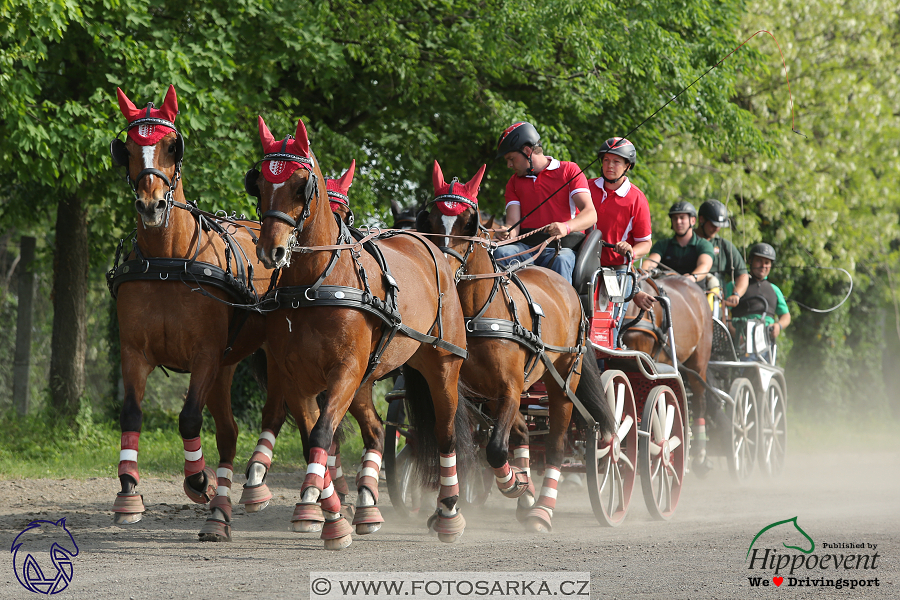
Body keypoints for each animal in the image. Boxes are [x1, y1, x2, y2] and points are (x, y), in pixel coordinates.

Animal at [107, 86, 272, 540]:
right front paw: (128, 491)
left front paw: (198, 480)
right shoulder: (134, 352)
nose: (151, 206)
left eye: (171, 145)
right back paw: (220, 515)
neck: (170, 259)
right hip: (228, 366)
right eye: (126, 149)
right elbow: (131, 413)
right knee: (230, 433)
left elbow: (188, 418)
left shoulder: (204, 355)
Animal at [246, 116, 472, 548]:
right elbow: (314, 439)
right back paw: (367, 506)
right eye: (260, 183)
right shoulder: (296, 376)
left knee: (445, 433)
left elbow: (321, 435)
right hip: (367, 378)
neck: (316, 284)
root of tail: (434, 252)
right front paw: (326, 511)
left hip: (441, 366)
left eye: (301, 185)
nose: (271, 251)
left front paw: (322, 508)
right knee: (376, 431)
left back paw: (450, 512)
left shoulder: (345, 371)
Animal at [416, 162, 616, 532]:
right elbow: (465, 441)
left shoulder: (510, 387)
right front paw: (512, 484)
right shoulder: (466, 389)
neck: (477, 313)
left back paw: (542, 510)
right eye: (431, 220)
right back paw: (527, 493)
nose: (443, 269)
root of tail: (568, 289)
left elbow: (495, 448)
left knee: (555, 445)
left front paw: (513, 484)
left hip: (563, 382)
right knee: (523, 432)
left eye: (469, 222)